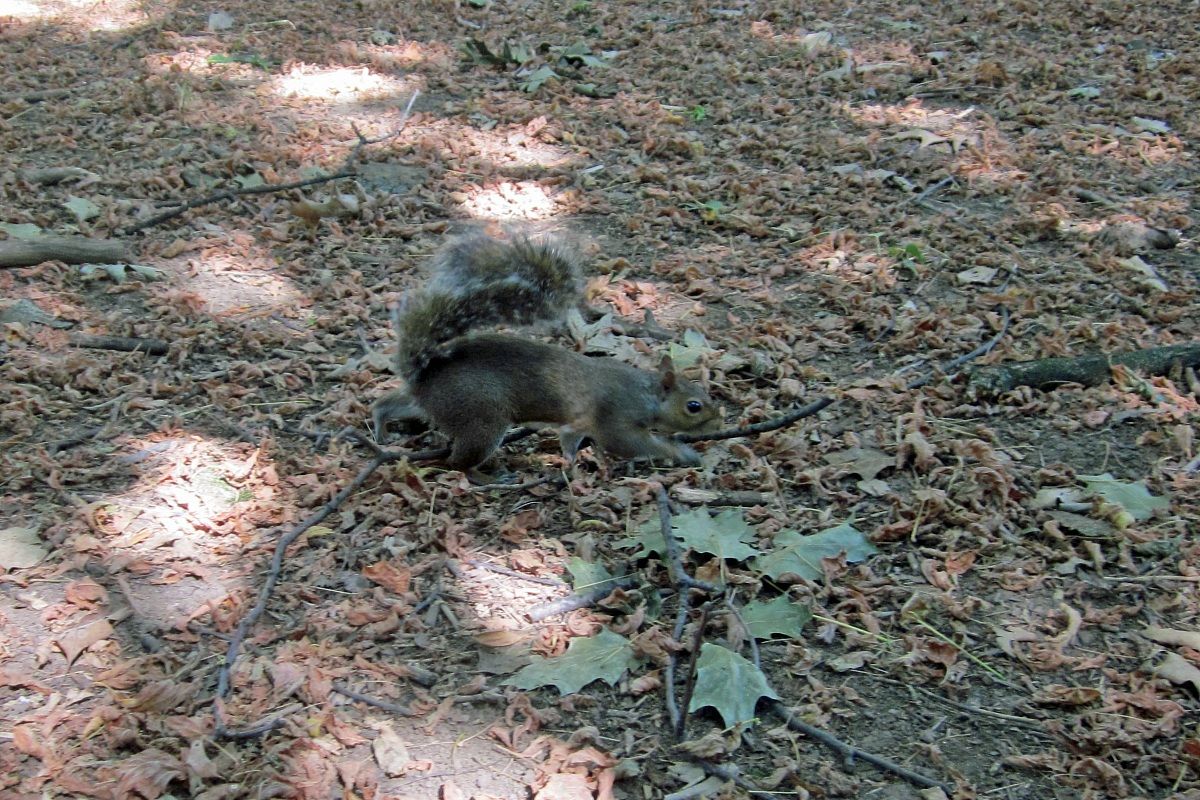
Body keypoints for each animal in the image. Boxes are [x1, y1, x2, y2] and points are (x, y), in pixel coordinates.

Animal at [371, 232, 722, 478]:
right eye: (693, 406)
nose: (718, 422)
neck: (645, 393)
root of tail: (425, 379)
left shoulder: (577, 425)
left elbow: (570, 441)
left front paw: (572, 466)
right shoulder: (615, 417)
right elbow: (631, 444)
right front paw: (682, 453)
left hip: (428, 406)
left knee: (391, 404)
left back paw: (380, 425)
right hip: (482, 421)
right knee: (457, 463)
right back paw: (488, 477)